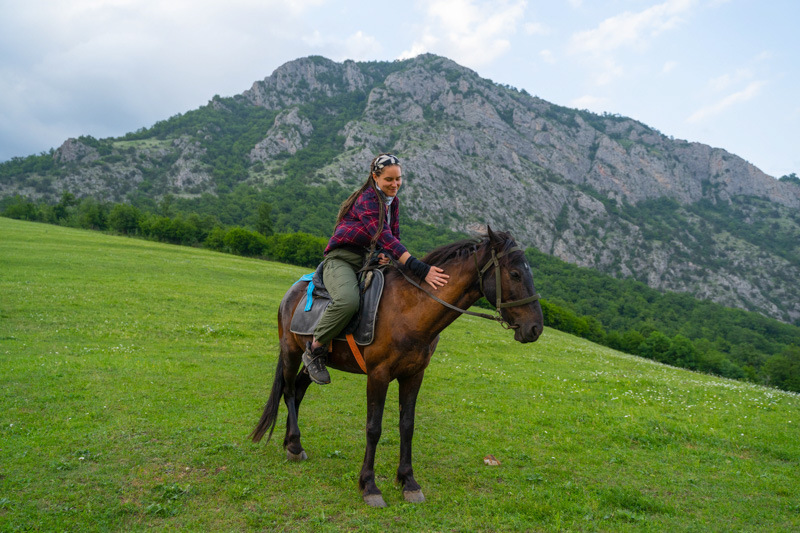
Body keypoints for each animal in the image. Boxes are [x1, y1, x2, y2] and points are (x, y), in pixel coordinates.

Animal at [253, 225, 544, 508]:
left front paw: (408, 482)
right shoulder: (378, 375)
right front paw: (369, 486)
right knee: (289, 391)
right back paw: (293, 445)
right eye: (515, 274)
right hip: (290, 352)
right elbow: (374, 428)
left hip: (313, 363)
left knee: (300, 390)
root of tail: (292, 292)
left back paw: (292, 442)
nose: (536, 328)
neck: (411, 309)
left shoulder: (414, 376)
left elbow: (407, 426)